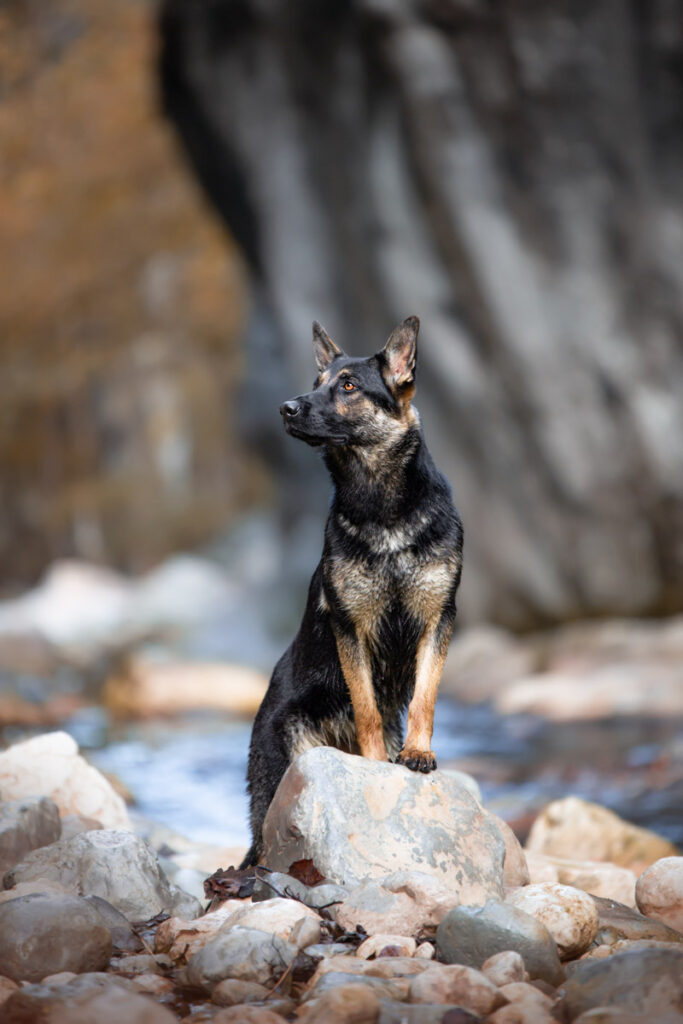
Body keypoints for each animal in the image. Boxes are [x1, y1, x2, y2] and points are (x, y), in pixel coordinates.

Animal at [241, 317, 464, 864]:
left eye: (347, 386)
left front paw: (418, 753)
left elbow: (425, 696)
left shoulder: (438, 619)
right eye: (317, 381)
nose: (286, 407)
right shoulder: (351, 627)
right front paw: (376, 761)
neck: (382, 509)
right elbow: (365, 707)